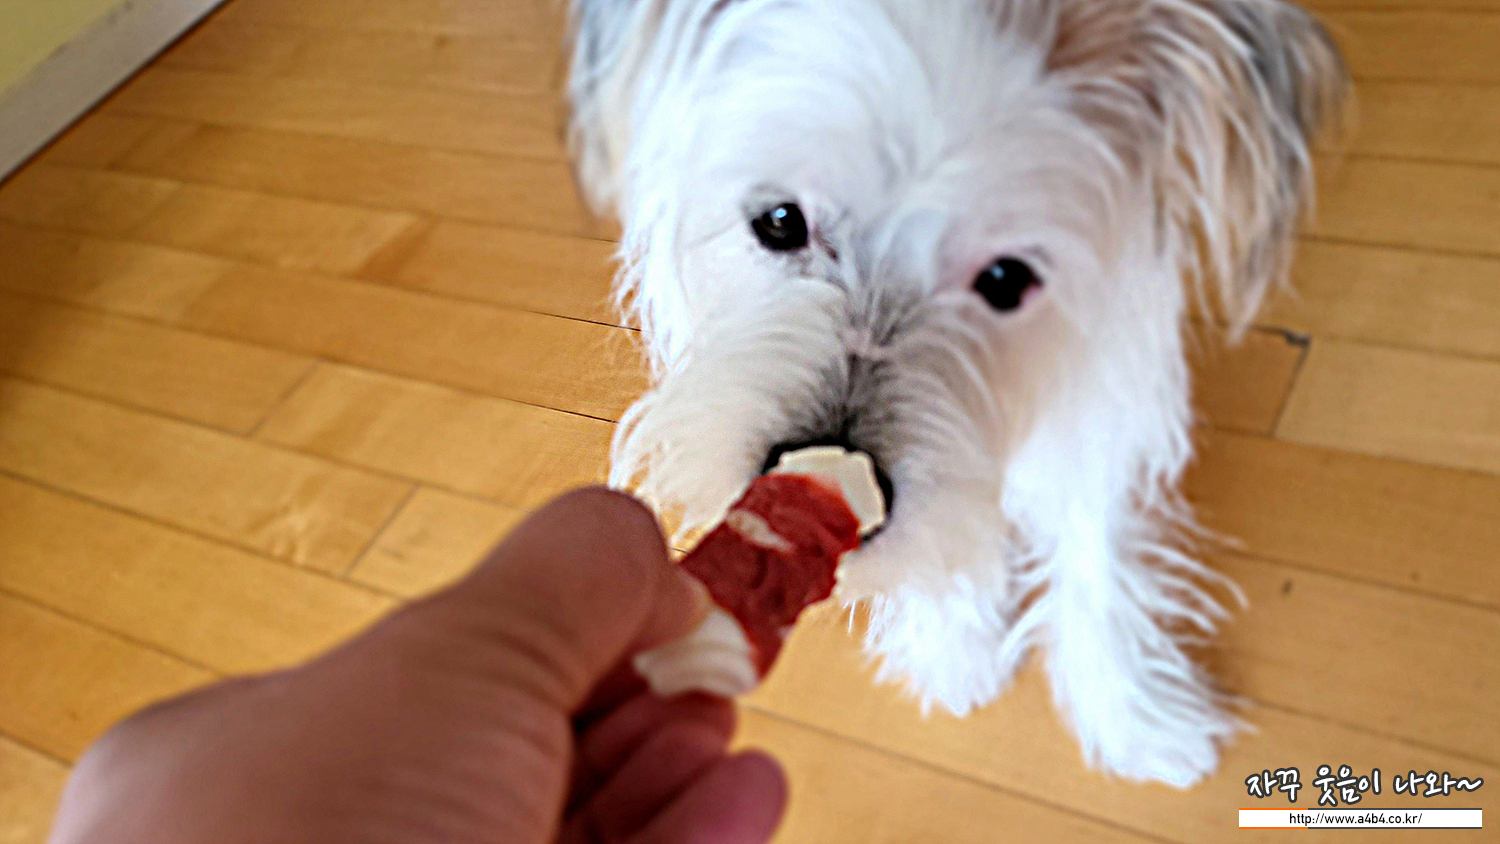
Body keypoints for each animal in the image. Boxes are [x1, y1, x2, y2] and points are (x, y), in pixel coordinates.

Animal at [562, 0, 1347, 787]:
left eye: (1005, 279)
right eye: (780, 221)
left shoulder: (1093, 422)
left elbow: (1094, 561)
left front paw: (1133, 715)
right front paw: (956, 651)